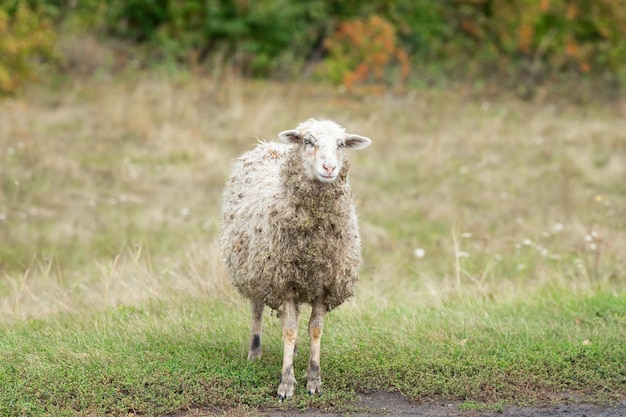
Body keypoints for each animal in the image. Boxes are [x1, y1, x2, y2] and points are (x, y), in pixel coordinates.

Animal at [219, 118, 370, 400]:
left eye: (341, 144)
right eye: (307, 141)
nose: (329, 168)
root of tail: (266, 145)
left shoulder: (324, 285)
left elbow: (315, 329)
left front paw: (314, 379)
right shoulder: (283, 282)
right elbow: (288, 329)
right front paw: (286, 383)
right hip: (256, 270)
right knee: (257, 309)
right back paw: (254, 352)